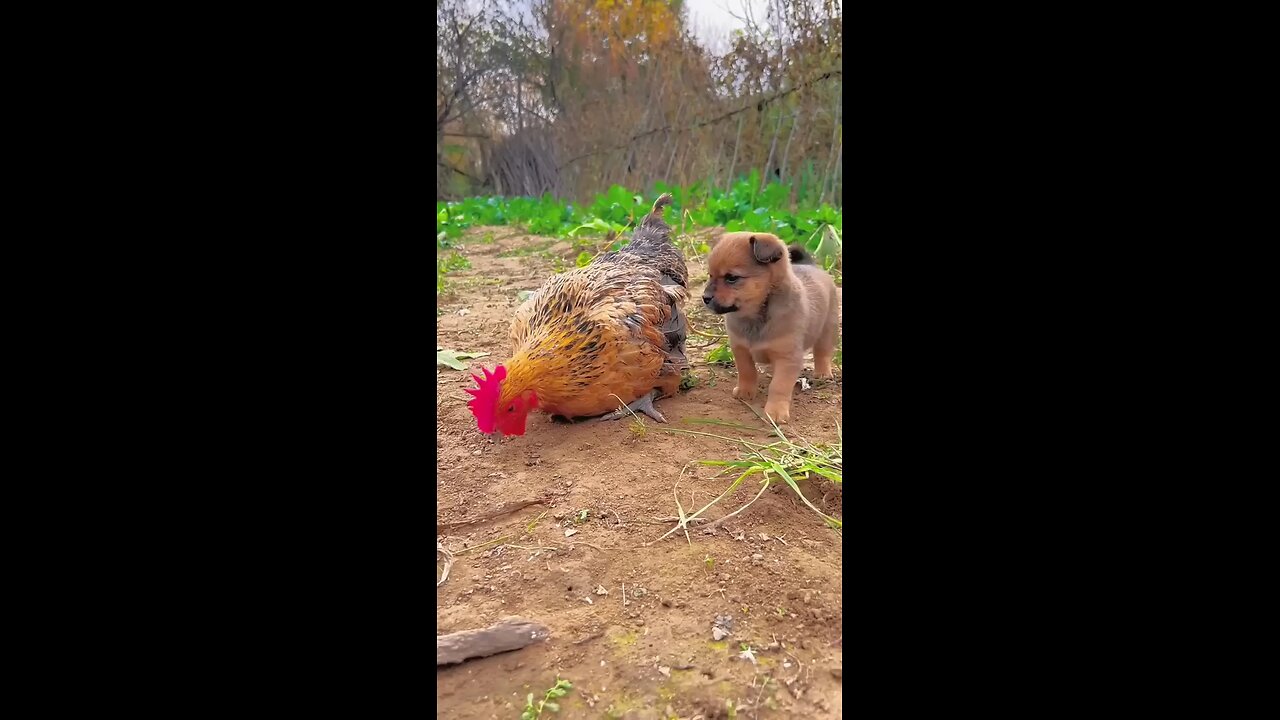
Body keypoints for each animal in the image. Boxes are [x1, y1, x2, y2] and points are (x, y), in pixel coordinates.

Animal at [701, 233, 839, 420]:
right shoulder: (740, 349)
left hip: (827, 329)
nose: (705, 297)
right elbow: (746, 372)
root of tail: (810, 265)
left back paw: (823, 373)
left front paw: (776, 411)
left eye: (732, 278)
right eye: (710, 275)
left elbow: (779, 385)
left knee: (822, 353)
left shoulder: (788, 358)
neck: (755, 316)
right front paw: (745, 392)